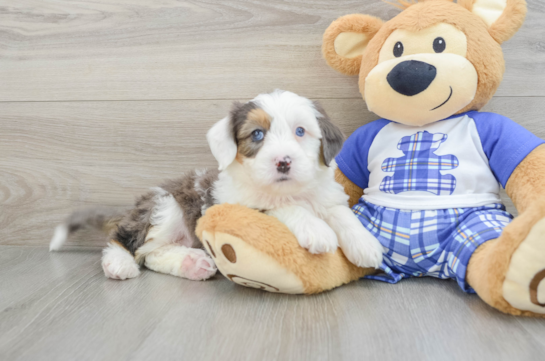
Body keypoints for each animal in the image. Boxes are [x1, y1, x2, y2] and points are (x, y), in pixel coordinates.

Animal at [51, 88, 382, 280]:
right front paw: (316, 229)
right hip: (166, 207)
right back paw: (118, 264)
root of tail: (136, 207)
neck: (289, 189)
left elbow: (341, 214)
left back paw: (191, 263)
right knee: (128, 242)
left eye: (301, 131)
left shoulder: (327, 196)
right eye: (257, 134)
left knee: (153, 254)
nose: (283, 162)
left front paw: (366, 245)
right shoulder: (240, 205)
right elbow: (282, 208)